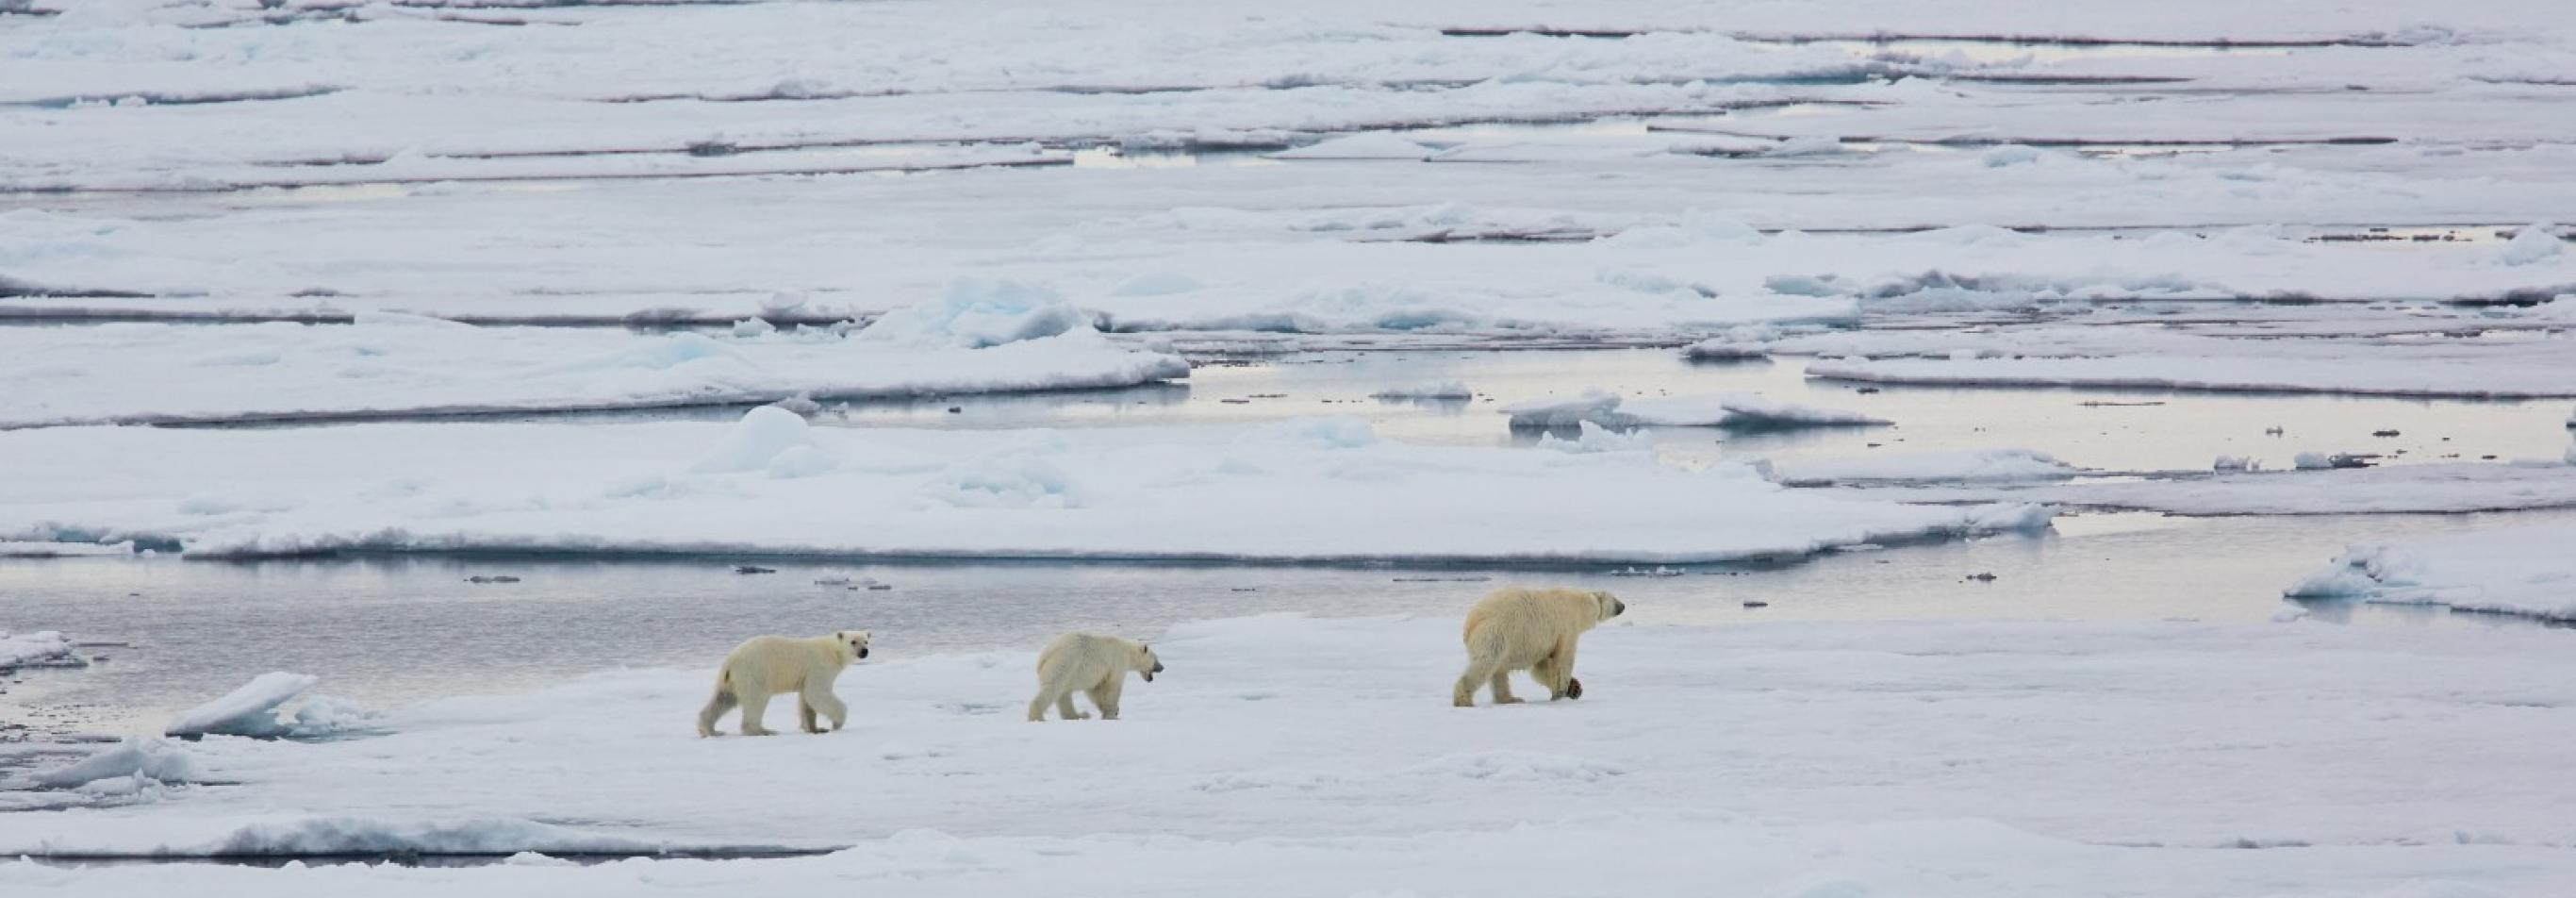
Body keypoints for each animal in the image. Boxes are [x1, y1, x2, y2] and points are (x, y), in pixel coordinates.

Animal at [701, 632, 870, 738]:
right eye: (853, 641)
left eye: (866, 640)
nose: (864, 651)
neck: (832, 651)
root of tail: (730, 661)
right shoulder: (819, 666)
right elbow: (816, 694)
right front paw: (836, 724)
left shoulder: (806, 675)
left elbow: (806, 701)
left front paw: (816, 729)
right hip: (754, 673)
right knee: (756, 701)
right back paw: (763, 731)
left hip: (730, 681)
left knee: (723, 700)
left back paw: (711, 730)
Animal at [1035, 632, 1169, 722]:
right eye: (1156, 659)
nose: (1162, 667)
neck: (1127, 651)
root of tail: (1045, 655)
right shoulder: (1116, 663)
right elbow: (1112, 688)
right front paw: (1112, 714)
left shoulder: (1094, 674)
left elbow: (1095, 689)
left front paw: (1112, 710)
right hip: (1065, 663)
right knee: (1052, 688)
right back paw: (1037, 715)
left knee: (1064, 695)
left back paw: (1078, 715)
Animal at [1462, 588, 1617, 707]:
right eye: (1615, 599)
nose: (1622, 606)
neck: (1578, 604)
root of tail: (1471, 622)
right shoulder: (1566, 628)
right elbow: (1562, 661)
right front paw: (1562, 693)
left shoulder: (1545, 642)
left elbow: (1542, 668)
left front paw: (1574, 688)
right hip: (1495, 634)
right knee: (1485, 665)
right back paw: (1464, 699)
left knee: (1498, 672)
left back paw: (1511, 699)